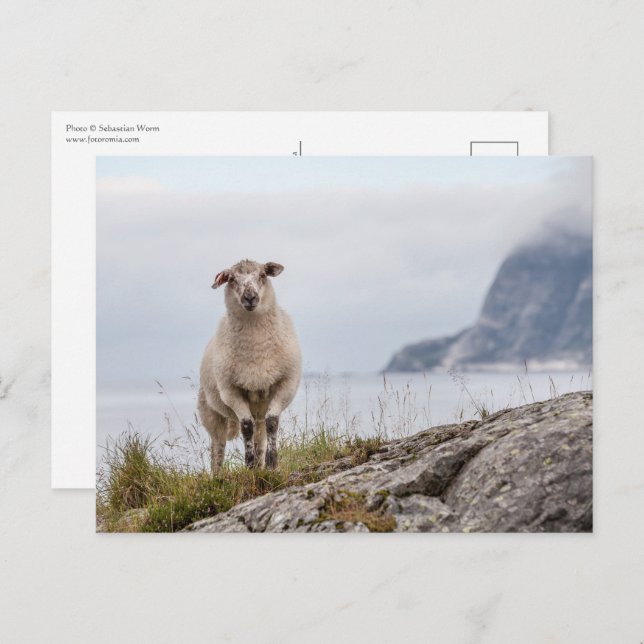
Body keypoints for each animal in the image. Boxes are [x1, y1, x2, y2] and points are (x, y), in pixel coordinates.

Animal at [198, 259, 302, 471]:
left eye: (262, 275)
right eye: (231, 279)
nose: (250, 297)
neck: (257, 350)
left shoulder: (285, 385)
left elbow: (272, 423)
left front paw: (272, 464)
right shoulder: (230, 392)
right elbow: (246, 427)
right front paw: (249, 466)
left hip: (259, 410)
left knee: (260, 436)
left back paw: (261, 465)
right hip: (211, 414)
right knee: (217, 448)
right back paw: (218, 474)